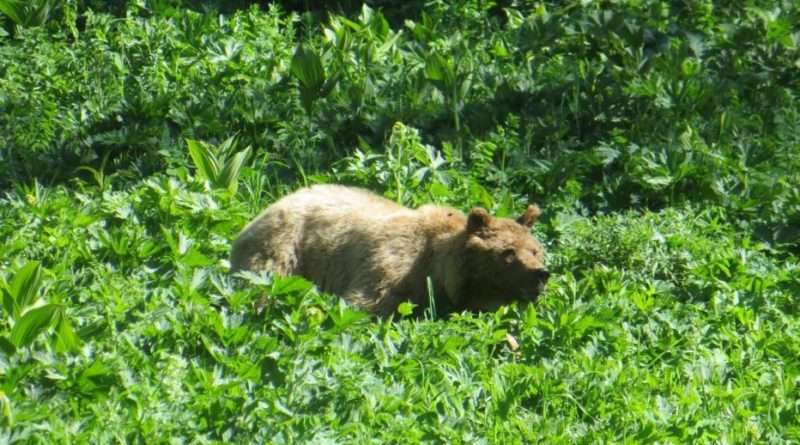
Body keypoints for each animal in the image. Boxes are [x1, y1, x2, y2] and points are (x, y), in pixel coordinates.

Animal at [228, 186, 548, 314]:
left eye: (534, 251)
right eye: (508, 253)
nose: (541, 274)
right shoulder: (392, 266)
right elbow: (366, 303)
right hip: (284, 248)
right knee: (266, 283)